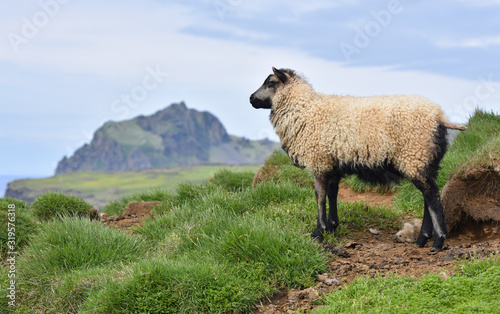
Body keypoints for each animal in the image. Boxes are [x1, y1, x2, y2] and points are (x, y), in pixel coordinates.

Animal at [252, 67, 466, 251]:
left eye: (270, 82)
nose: (251, 99)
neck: (304, 110)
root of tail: (439, 117)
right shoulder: (333, 164)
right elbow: (332, 193)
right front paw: (332, 226)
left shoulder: (319, 161)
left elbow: (319, 196)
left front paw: (318, 233)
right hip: (425, 160)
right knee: (428, 196)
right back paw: (422, 239)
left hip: (414, 154)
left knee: (432, 196)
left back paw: (437, 241)